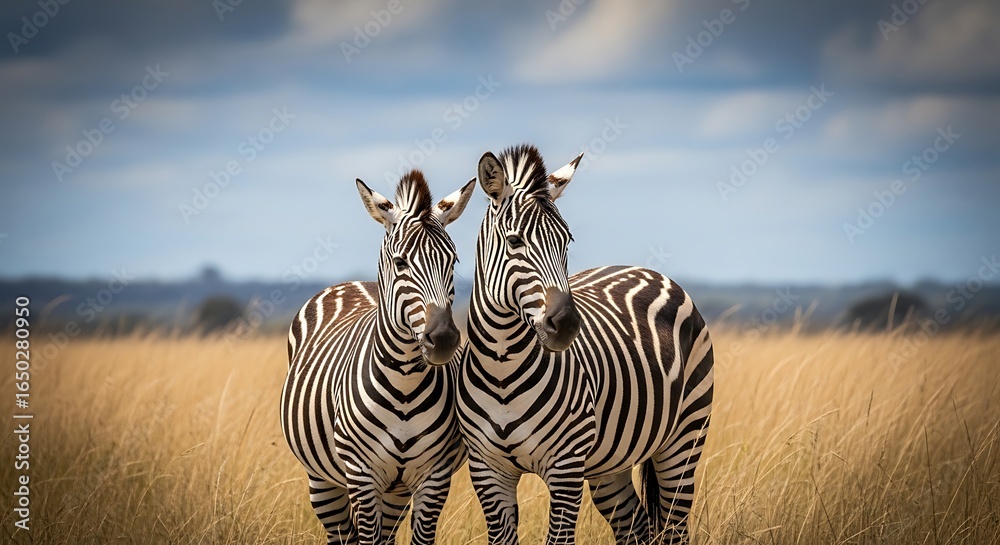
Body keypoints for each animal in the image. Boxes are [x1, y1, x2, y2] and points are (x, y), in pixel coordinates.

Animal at [281, 170, 475, 545]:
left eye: (453, 261)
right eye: (400, 262)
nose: (443, 339)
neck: (405, 384)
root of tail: (352, 282)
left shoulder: (435, 475)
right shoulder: (361, 473)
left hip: (395, 491)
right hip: (322, 480)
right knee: (342, 534)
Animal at [457, 145, 714, 544]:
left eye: (567, 241)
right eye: (515, 241)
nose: (566, 325)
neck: (502, 369)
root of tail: (649, 270)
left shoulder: (565, 468)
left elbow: (559, 538)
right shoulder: (487, 470)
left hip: (685, 436)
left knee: (673, 526)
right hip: (611, 462)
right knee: (636, 527)